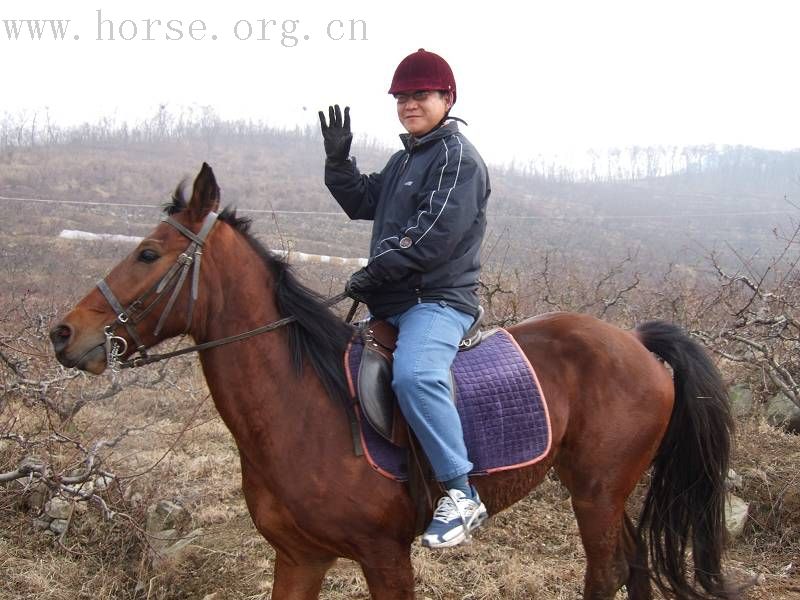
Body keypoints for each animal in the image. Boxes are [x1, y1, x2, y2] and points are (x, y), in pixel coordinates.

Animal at [51, 164, 736, 600]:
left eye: (147, 253)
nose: (63, 334)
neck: (302, 408)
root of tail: (637, 343)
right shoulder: (298, 557)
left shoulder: (386, 558)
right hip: (599, 490)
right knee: (632, 565)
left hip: (596, 493)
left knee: (605, 574)